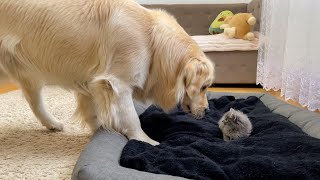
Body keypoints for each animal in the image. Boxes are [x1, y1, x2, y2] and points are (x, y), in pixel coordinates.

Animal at [1, 0, 215, 145]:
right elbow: (131, 118)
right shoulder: (117, 84)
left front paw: (99, 132)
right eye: (204, 86)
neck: (151, 38)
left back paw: (53, 123)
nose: (207, 110)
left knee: (35, 102)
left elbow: (92, 113)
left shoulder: (90, 82)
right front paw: (145, 141)